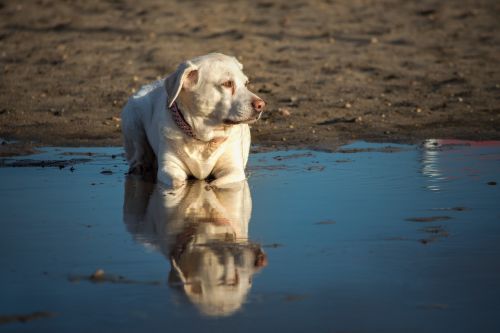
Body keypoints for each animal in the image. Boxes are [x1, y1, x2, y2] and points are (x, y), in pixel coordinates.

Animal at [121, 52, 266, 187]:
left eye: (246, 83)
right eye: (227, 83)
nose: (261, 105)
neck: (203, 139)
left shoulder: (233, 170)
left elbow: (216, 184)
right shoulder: (169, 167)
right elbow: (177, 183)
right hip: (132, 118)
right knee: (138, 153)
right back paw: (139, 167)